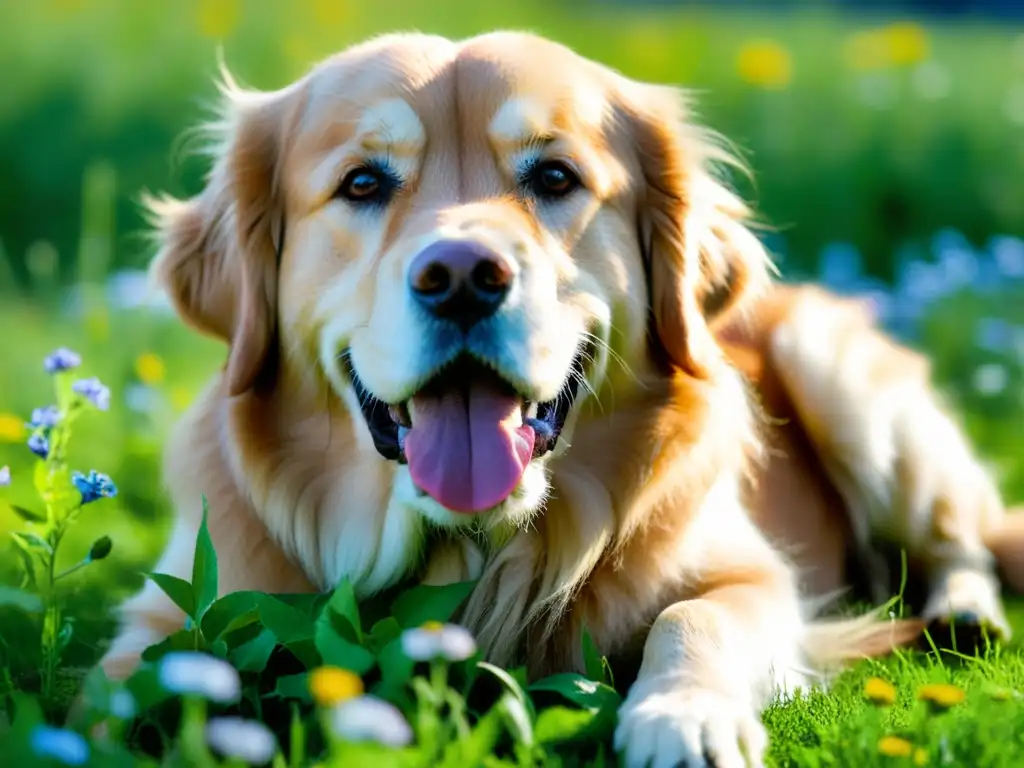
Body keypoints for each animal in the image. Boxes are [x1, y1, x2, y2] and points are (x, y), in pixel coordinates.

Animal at [97, 31, 1024, 768]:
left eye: (553, 175)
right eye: (362, 184)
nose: (461, 276)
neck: (474, 553)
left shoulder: (755, 576)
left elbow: (695, 617)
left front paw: (682, 719)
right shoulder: (177, 607)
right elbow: (119, 686)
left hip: (840, 376)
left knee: (960, 541)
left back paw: (965, 613)